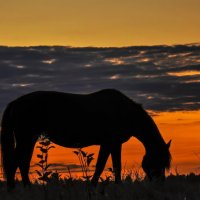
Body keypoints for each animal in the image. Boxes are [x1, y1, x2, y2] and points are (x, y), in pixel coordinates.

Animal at [0, 89, 171, 189]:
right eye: (160, 161)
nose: (160, 183)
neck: (125, 111)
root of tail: (16, 103)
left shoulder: (115, 144)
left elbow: (115, 165)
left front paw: (117, 185)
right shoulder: (108, 143)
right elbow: (102, 165)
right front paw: (94, 186)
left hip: (29, 138)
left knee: (22, 161)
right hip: (26, 137)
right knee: (15, 161)